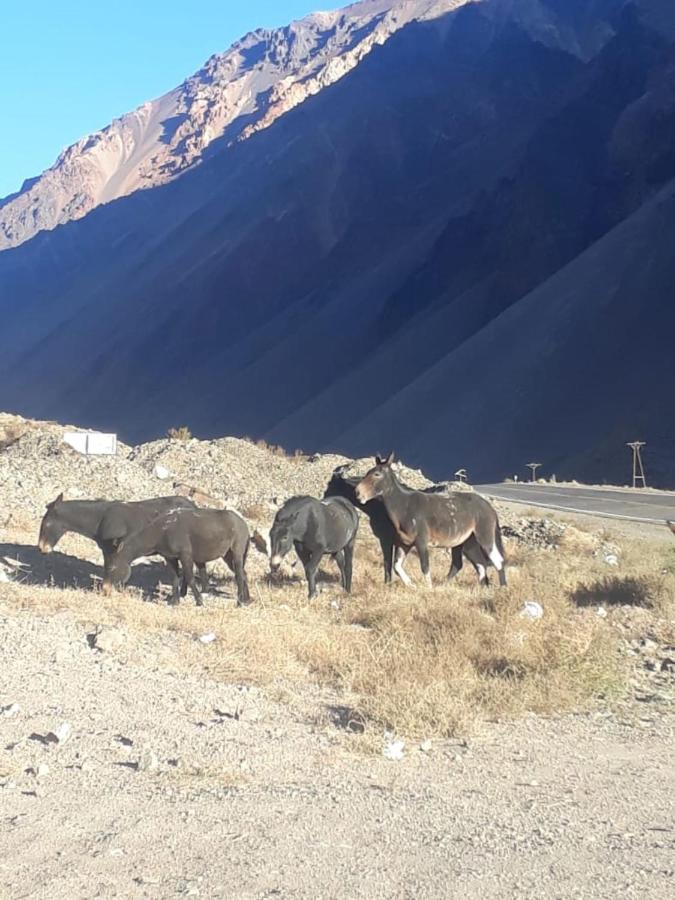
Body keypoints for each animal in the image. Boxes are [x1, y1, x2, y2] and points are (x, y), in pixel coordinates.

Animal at [36, 492, 209, 584]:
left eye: (46, 523)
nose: (41, 548)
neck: (101, 519)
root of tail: (194, 506)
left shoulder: (112, 549)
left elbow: (111, 568)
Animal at [100, 506, 248, 604]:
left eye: (111, 568)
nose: (104, 589)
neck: (161, 531)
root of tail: (244, 524)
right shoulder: (170, 558)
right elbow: (175, 579)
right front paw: (175, 601)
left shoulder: (185, 555)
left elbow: (189, 578)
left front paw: (199, 601)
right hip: (227, 556)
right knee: (243, 574)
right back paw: (247, 599)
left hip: (236, 553)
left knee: (239, 575)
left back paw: (240, 601)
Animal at [324, 468, 494, 588]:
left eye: (331, 486)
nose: (325, 500)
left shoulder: (387, 540)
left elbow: (388, 564)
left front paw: (388, 585)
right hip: (464, 544)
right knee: (470, 564)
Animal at [354, 454, 508, 588]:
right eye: (368, 472)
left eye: (376, 474)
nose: (357, 492)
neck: (404, 506)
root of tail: (489, 507)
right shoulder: (404, 543)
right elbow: (397, 566)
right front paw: (412, 585)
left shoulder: (421, 542)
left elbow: (425, 567)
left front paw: (427, 588)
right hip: (468, 542)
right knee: (477, 565)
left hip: (484, 535)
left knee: (497, 561)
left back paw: (502, 588)